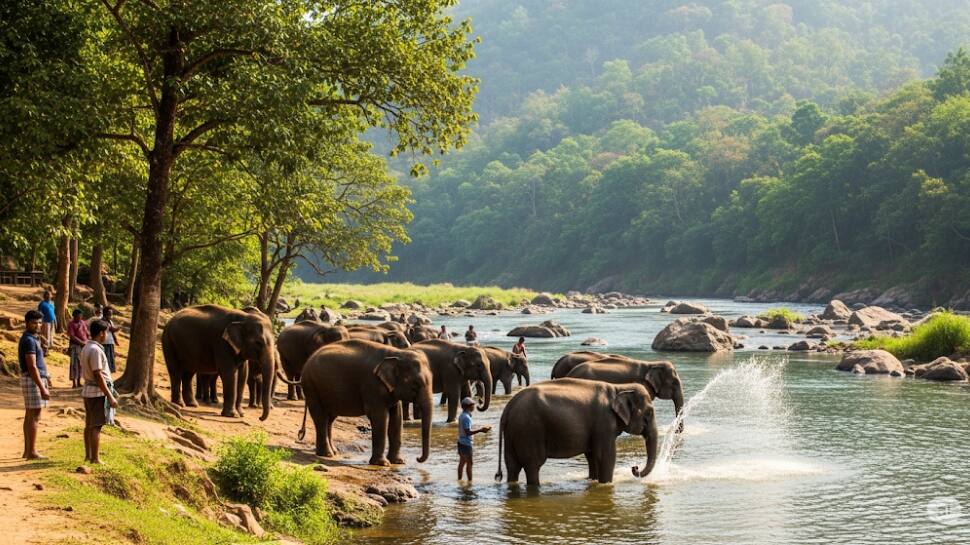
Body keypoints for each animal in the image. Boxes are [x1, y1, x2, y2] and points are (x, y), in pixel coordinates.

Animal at [290, 339, 433, 466]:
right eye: (415, 384)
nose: (417, 458)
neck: (397, 353)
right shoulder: (372, 385)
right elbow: (380, 417)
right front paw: (383, 464)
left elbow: (396, 418)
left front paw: (399, 462)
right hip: (311, 387)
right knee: (321, 418)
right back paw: (327, 454)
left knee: (329, 419)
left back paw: (334, 452)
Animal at [494, 378, 658, 485]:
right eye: (649, 413)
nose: (635, 467)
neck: (619, 387)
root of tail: (508, 407)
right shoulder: (604, 422)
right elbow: (606, 456)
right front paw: (606, 484)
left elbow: (592, 456)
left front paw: (593, 481)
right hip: (529, 431)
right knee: (533, 466)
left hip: (513, 433)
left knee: (512, 465)